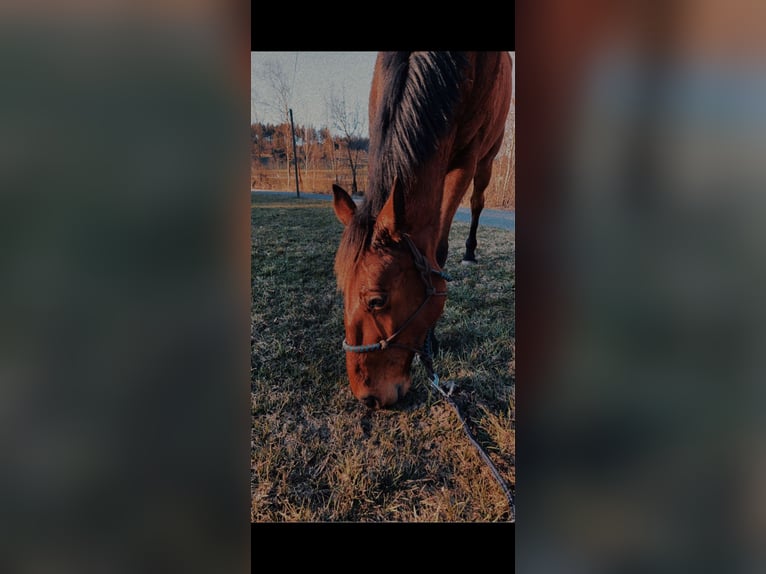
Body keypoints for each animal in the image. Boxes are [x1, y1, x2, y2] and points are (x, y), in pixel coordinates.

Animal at [332, 50, 512, 410]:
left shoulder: (466, 159)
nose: (367, 398)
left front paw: (432, 338)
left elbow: (438, 251)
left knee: (477, 201)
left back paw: (470, 250)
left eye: (376, 300)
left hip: (488, 157)